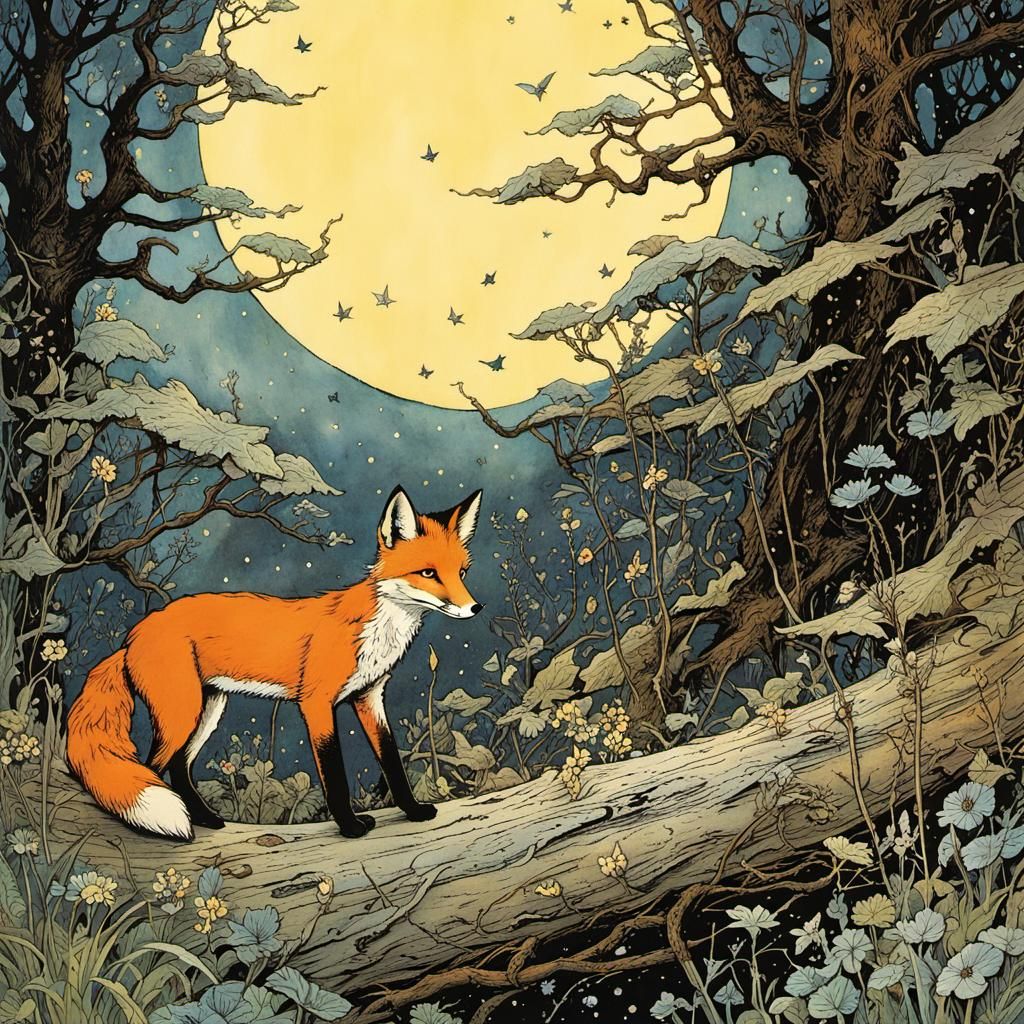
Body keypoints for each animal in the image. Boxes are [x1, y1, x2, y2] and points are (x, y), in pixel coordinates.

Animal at [66, 486, 483, 842]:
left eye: (461, 573)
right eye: (428, 573)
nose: (475, 608)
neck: (379, 630)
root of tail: (131, 636)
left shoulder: (369, 698)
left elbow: (393, 762)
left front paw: (413, 811)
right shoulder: (316, 702)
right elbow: (334, 774)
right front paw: (349, 826)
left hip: (208, 709)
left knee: (179, 767)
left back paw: (205, 819)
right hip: (182, 711)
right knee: (152, 767)